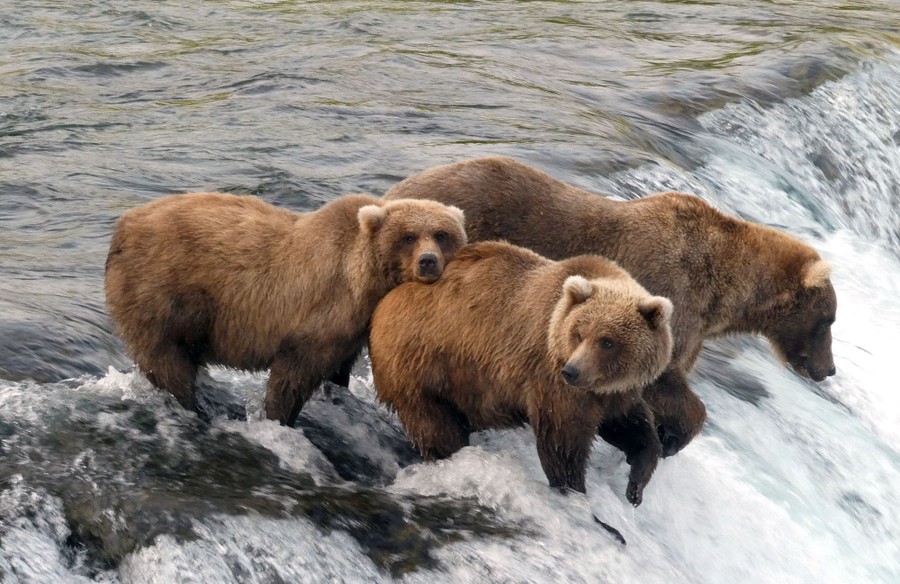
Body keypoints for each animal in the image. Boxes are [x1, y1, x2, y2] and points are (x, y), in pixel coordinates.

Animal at [105, 192, 467, 426]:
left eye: (441, 234)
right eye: (409, 236)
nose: (428, 261)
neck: (365, 280)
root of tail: (123, 225)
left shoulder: (352, 327)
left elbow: (338, 367)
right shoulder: (322, 310)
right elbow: (294, 371)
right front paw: (280, 416)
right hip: (163, 291)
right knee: (166, 358)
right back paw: (193, 406)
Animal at [369, 240, 674, 505]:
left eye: (607, 341)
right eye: (579, 333)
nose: (572, 371)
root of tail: (384, 303)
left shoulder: (614, 391)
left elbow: (630, 426)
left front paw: (636, 484)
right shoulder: (553, 382)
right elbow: (563, 442)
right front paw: (574, 490)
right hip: (422, 366)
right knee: (435, 426)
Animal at [384, 156, 837, 456]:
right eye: (828, 320)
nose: (828, 369)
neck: (721, 292)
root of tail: (393, 194)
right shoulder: (670, 294)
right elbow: (663, 381)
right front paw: (672, 437)